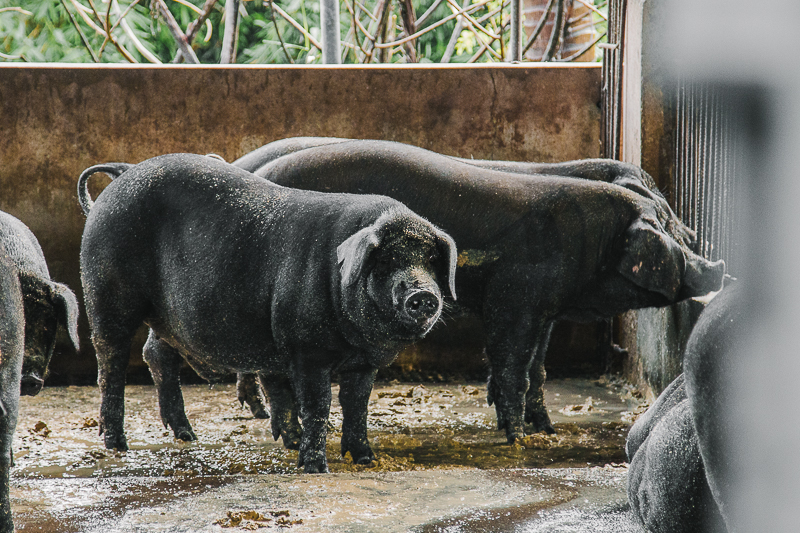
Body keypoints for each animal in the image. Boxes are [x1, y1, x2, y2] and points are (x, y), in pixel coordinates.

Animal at [79, 154, 456, 474]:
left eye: (431, 260)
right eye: (387, 260)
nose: (423, 294)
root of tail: (119, 180)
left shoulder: (363, 362)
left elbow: (356, 406)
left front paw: (364, 459)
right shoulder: (307, 349)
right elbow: (317, 405)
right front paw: (315, 467)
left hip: (167, 317)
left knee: (155, 354)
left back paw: (187, 435)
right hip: (105, 290)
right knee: (110, 362)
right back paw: (118, 445)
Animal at [233, 139, 724, 442]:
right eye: (666, 225)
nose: (714, 259)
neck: (589, 245)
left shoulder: (543, 308)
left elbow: (537, 367)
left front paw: (545, 429)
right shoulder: (513, 298)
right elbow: (512, 364)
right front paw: (517, 438)